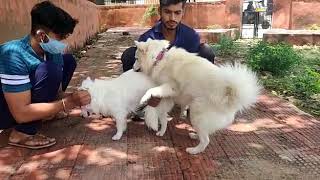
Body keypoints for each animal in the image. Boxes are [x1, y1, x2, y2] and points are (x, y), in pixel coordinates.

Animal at [134, 39, 262, 155]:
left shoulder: (172, 87)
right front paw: (162, 131)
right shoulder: (168, 95)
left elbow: (151, 90)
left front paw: (144, 98)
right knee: (205, 134)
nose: (133, 68)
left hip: (196, 114)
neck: (159, 58)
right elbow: (163, 116)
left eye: (136, 58)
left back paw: (193, 150)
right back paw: (195, 136)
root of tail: (231, 97)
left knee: (206, 140)